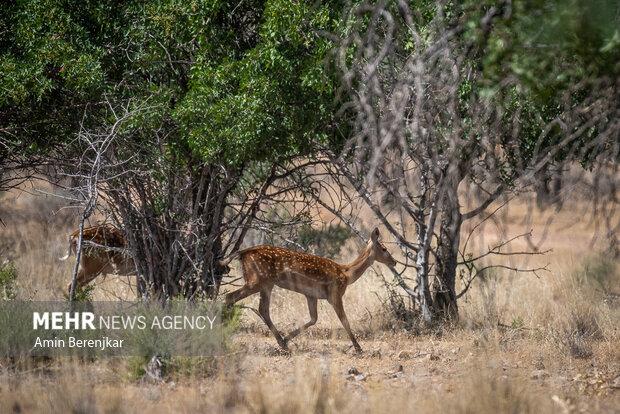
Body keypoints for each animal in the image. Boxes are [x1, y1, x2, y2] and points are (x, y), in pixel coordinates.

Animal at [223, 226, 398, 352]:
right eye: (384, 248)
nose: (394, 261)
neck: (347, 274)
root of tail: (243, 253)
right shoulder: (335, 293)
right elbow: (344, 320)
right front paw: (358, 348)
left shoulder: (311, 295)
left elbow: (313, 319)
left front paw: (287, 339)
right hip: (257, 280)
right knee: (231, 297)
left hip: (266, 283)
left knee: (262, 309)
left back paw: (281, 342)